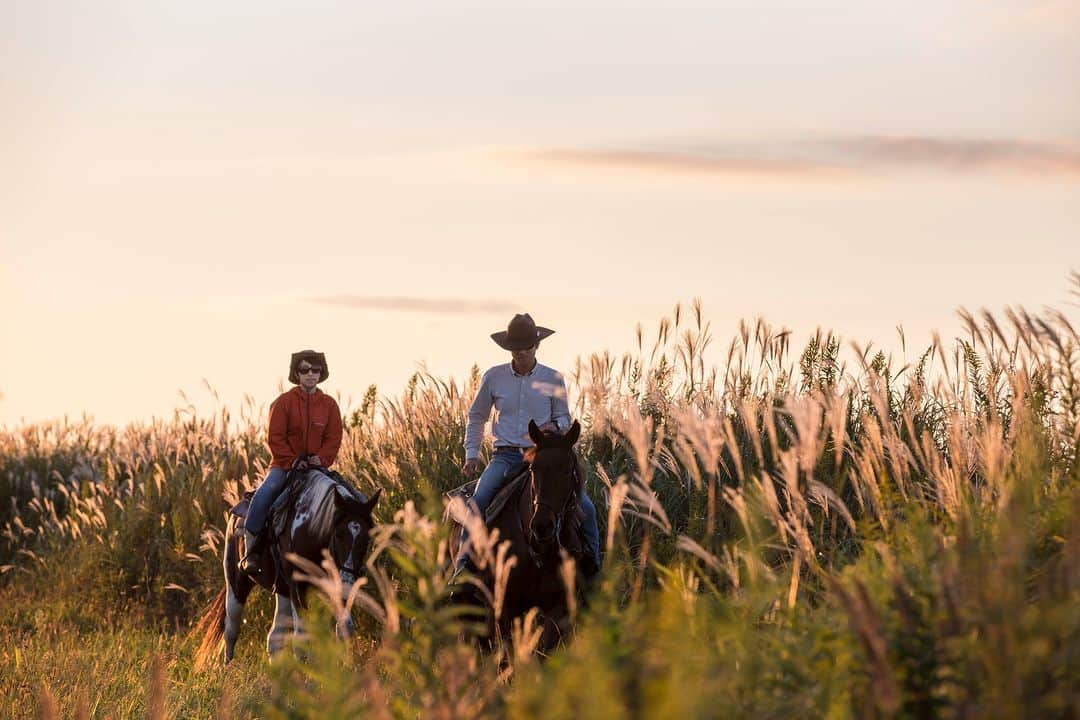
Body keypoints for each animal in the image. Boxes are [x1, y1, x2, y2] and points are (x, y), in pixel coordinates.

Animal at [194, 470, 380, 669]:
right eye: (338, 534)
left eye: (367, 538)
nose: (346, 581)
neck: (308, 529)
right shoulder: (298, 588)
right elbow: (302, 638)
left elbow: (345, 629)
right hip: (236, 582)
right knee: (231, 629)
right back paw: (227, 667)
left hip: (283, 591)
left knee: (275, 637)